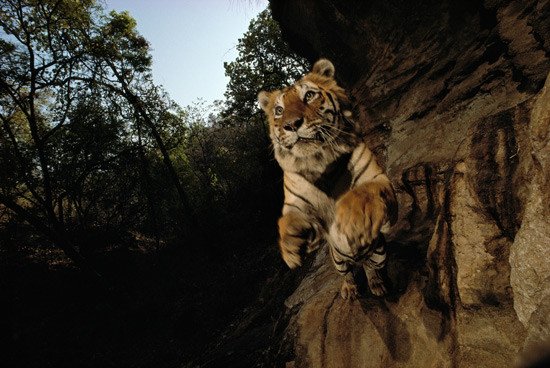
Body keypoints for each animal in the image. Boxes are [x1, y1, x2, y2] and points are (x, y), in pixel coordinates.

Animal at [258, 57, 396, 300]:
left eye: (309, 96)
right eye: (279, 110)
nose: (291, 124)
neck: (319, 161)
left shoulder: (379, 180)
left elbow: (363, 193)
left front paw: (351, 215)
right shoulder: (298, 206)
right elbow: (287, 220)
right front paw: (290, 247)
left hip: (380, 252)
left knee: (371, 267)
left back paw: (377, 284)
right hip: (338, 260)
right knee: (347, 274)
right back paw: (349, 290)